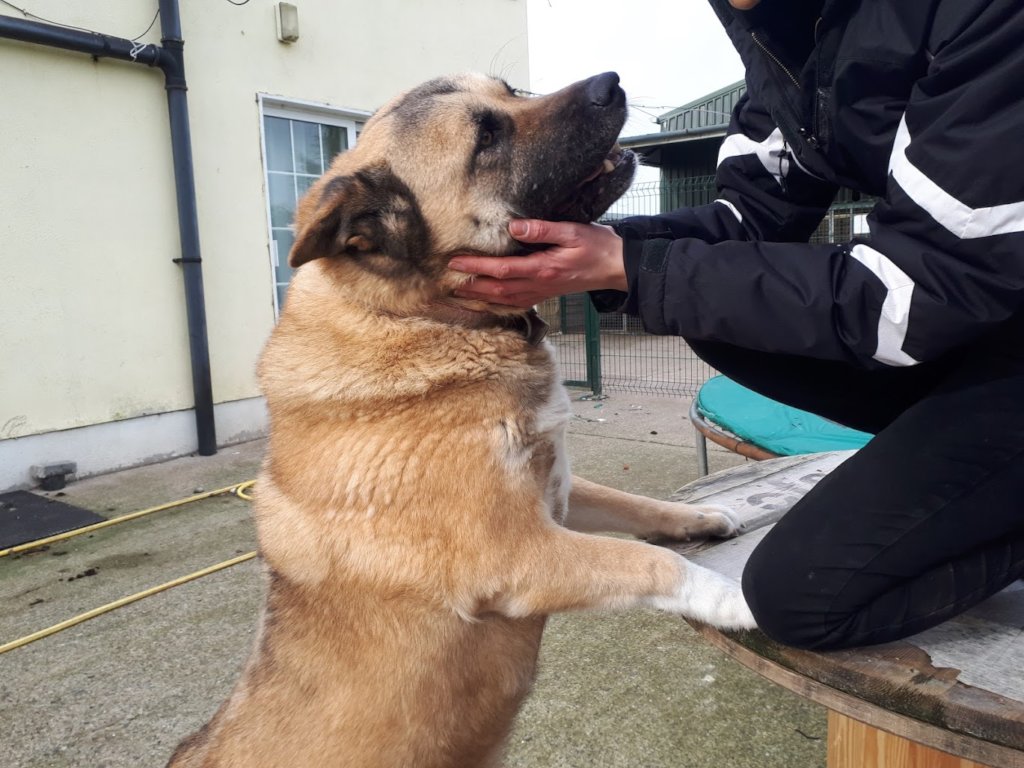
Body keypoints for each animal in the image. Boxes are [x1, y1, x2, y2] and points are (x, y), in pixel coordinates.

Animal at [167, 72, 753, 768]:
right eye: (486, 138)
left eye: (510, 90)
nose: (609, 82)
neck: (421, 317)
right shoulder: (518, 553)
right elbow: (648, 561)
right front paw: (735, 598)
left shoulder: (557, 494)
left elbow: (637, 506)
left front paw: (706, 517)